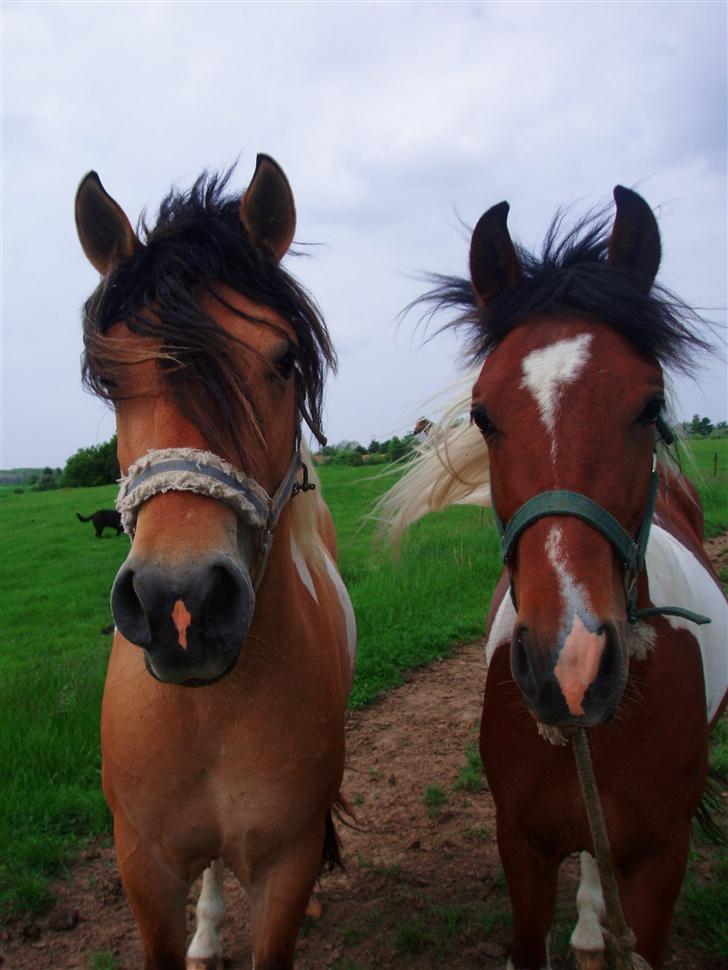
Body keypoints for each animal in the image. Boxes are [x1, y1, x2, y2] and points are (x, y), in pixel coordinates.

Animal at [75, 155, 356, 964]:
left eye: (284, 359)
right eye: (112, 380)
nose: (180, 602)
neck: (212, 715)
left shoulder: (287, 865)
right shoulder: (143, 866)